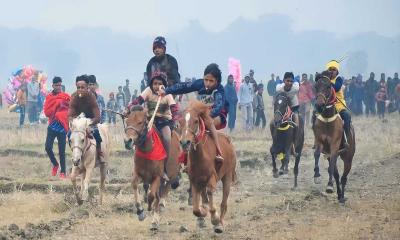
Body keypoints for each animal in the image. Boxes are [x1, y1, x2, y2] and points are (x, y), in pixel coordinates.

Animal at [179, 100, 238, 233]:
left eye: (196, 121)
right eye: (180, 121)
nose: (185, 142)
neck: (200, 156)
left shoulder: (212, 177)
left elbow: (211, 192)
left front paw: (215, 219)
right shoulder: (195, 181)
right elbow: (196, 209)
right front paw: (203, 212)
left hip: (227, 176)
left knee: (223, 202)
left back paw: (220, 223)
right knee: (205, 197)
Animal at [312, 72, 356, 203]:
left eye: (328, 87)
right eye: (316, 86)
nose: (319, 105)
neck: (327, 118)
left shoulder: (335, 145)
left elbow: (332, 165)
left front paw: (329, 186)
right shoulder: (320, 142)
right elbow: (317, 154)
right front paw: (317, 176)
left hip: (348, 156)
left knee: (344, 176)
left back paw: (342, 197)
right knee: (336, 174)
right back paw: (339, 193)